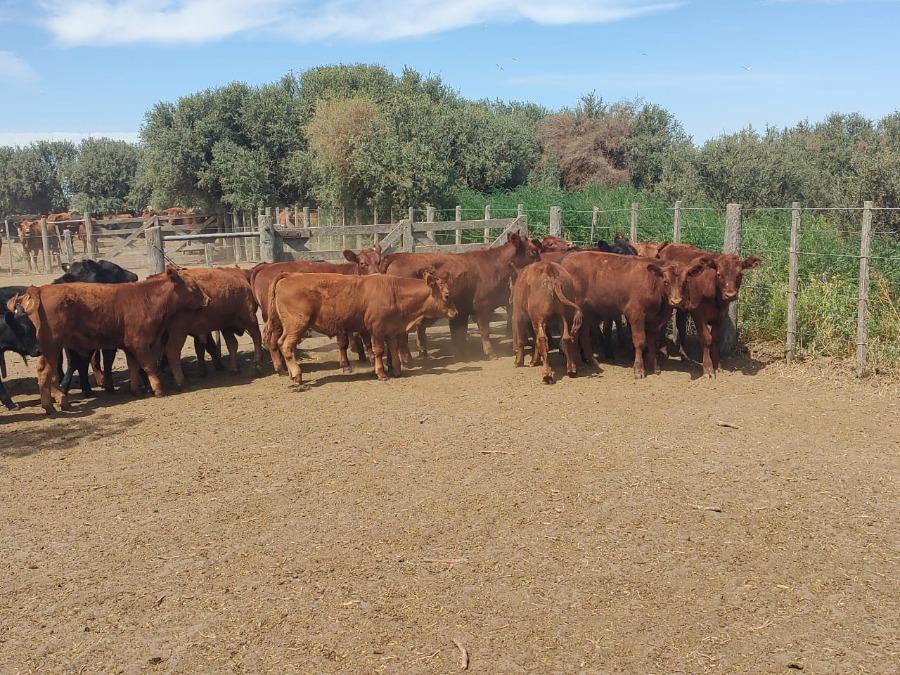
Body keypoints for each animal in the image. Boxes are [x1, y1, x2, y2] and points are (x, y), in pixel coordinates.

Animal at [8, 266, 210, 413]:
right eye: (193, 287)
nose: (207, 299)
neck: (147, 298)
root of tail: (39, 289)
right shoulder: (140, 343)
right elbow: (149, 366)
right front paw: (158, 389)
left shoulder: (129, 346)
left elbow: (133, 367)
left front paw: (136, 390)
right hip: (51, 345)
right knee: (45, 372)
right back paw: (50, 406)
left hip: (52, 349)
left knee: (52, 374)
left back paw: (62, 402)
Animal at [264, 270, 457, 383]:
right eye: (447, 295)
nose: (455, 312)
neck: (394, 292)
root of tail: (289, 276)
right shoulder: (377, 329)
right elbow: (379, 350)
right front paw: (381, 373)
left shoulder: (391, 329)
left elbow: (393, 349)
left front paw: (396, 370)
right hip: (296, 324)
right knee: (286, 345)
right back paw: (297, 376)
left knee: (281, 344)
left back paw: (291, 374)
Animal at [380, 232, 541, 360]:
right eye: (533, 252)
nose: (543, 264)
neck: (495, 266)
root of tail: (396, 256)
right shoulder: (483, 307)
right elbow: (484, 331)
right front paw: (490, 353)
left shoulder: (462, 311)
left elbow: (460, 333)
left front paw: (463, 352)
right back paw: (407, 358)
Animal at [560, 251, 692, 378]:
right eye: (666, 282)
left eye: (685, 282)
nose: (676, 301)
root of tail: (566, 260)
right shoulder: (635, 314)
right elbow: (640, 341)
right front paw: (639, 369)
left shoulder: (654, 320)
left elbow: (652, 342)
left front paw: (655, 366)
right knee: (572, 335)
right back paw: (575, 366)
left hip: (587, 312)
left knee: (584, 333)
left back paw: (591, 361)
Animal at [658, 243, 761, 377]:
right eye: (719, 274)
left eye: (739, 275)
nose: (730, 295)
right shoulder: (698, 313)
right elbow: (706, 339)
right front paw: (708, 368)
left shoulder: (721, 314)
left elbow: (715, 339)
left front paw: (718, 365)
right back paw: (663, 352)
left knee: (681, 325)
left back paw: (684, 354)